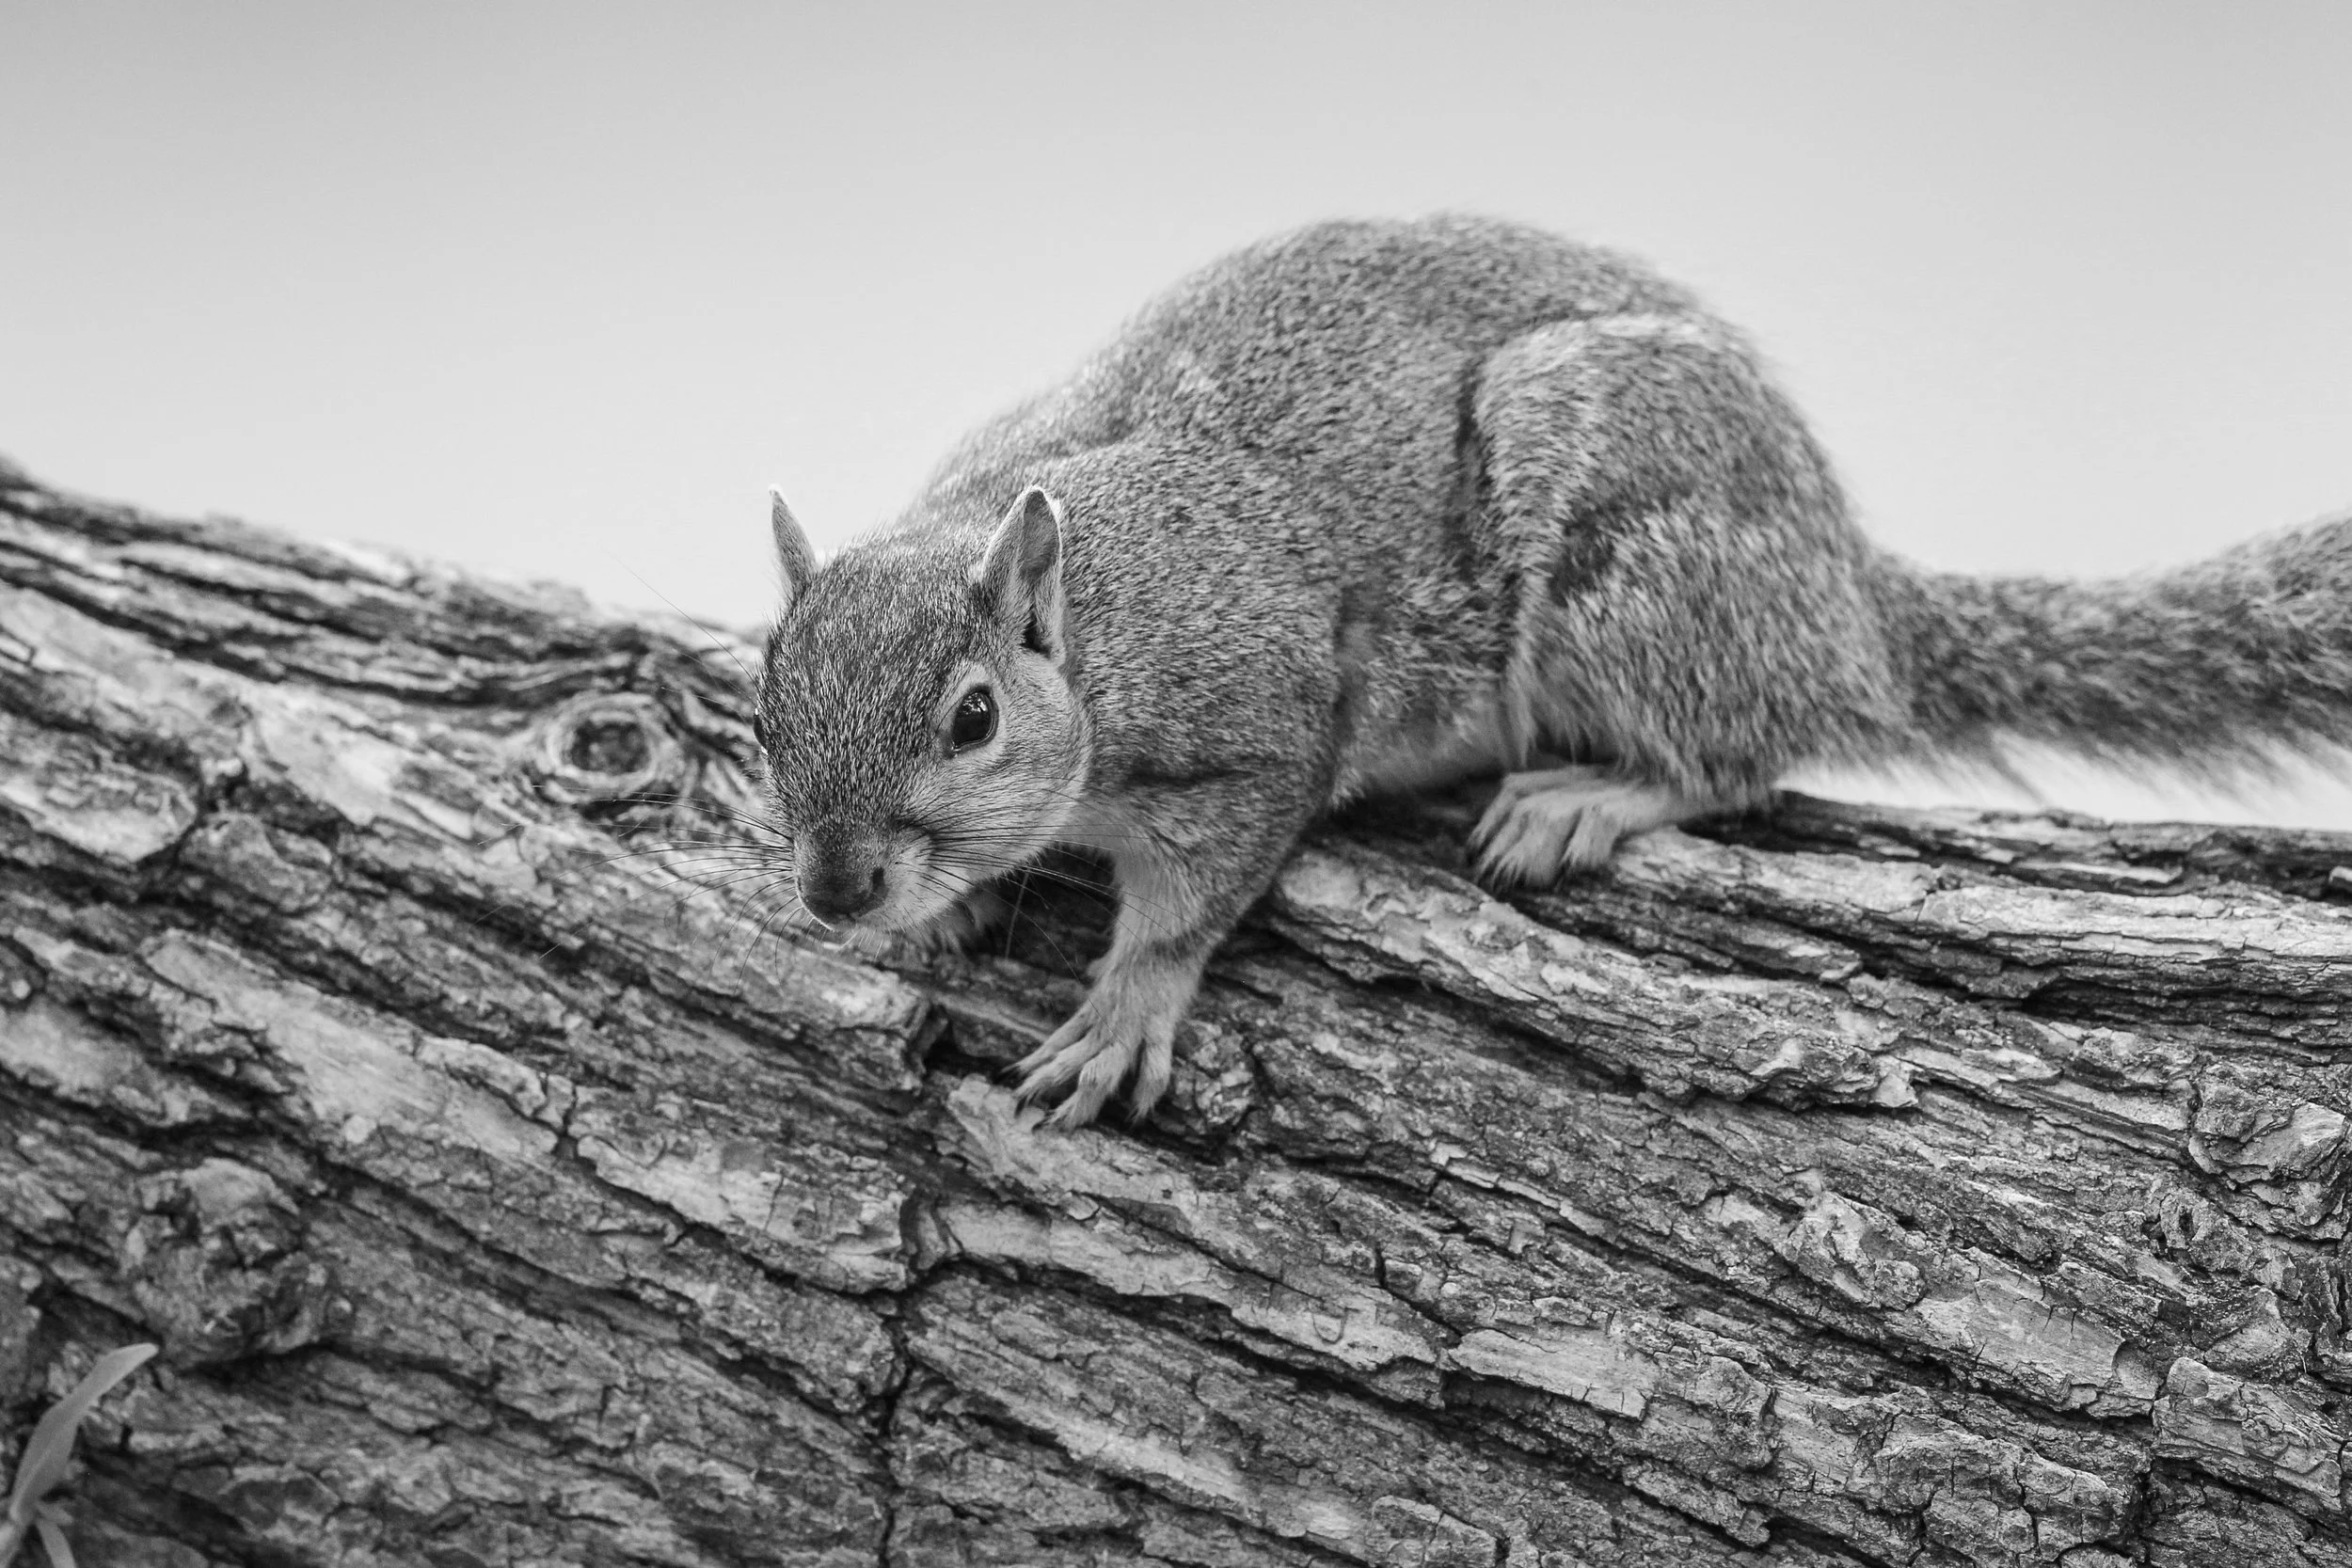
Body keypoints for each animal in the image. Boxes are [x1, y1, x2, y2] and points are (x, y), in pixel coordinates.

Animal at [754, 214, 2352, 1128]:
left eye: (973, 715)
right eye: (769, 706)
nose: (835, 890)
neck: (1098, 618)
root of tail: (1843, 592)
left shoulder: (1260, 718)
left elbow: (1194, 897)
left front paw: (1127, 1007)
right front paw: (944, 911)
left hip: (1624, 550)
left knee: (1747, 748)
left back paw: (1590, 795)